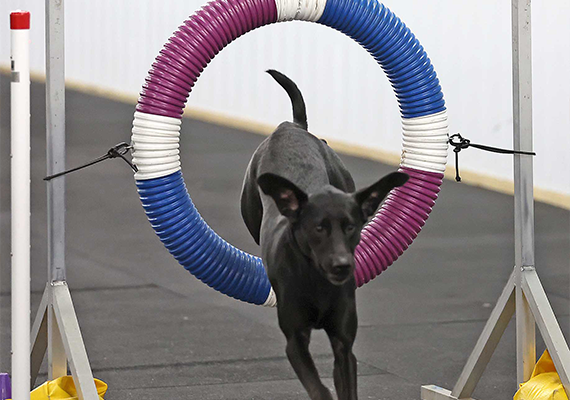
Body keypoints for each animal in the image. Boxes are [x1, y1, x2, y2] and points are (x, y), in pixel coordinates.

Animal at [240, 70, 408, 398]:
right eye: (318, 228)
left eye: (351, 227)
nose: (342, 265)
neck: (316, 279)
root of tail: (291, 126)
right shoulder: (294, 340)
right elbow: (318, 387)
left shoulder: (344, 344)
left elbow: (345, 381)